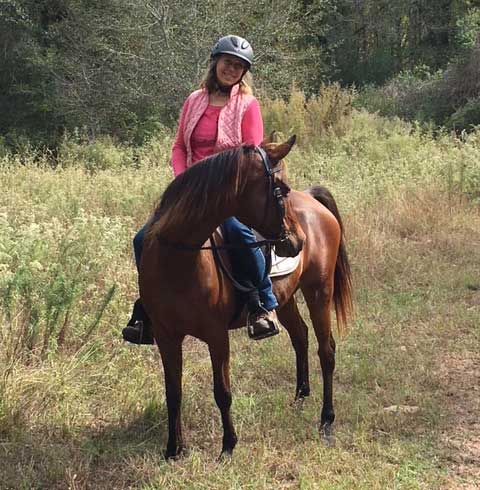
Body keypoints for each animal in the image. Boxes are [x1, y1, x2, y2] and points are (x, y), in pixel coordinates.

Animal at [139, 137, 352, 460]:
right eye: (281, 189)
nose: (298, 241)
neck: (176, 259)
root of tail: (312, 201)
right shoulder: (166, 335)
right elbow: (173, 391)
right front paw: (174, 449)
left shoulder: (216, 335)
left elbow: (222, 392)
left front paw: (228, 447)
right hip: (286, 298)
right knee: (300, 336)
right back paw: (300, 398)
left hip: (319, 291)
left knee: (326, 351)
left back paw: (326, 421)